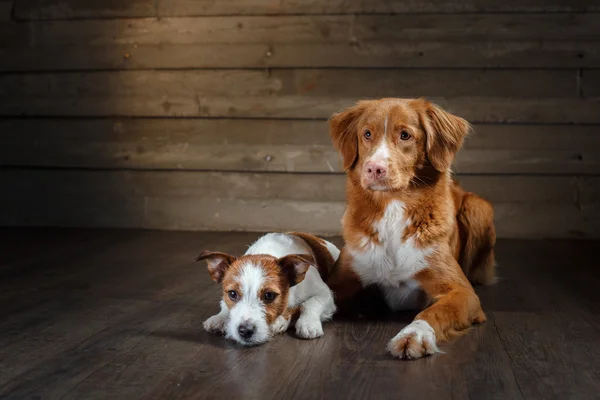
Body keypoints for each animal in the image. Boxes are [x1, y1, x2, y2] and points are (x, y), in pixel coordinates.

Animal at [197, 233, 338, 346]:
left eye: (269, 295)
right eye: (232, 294)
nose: (245, 331)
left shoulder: (325, 294)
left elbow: (310, 303)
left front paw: (308, 322)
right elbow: (225, 306)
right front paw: (219, 318)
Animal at [326, 98, 494, 360]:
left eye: (405, 135)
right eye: (367, 134)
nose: (374, 169)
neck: (392, 207)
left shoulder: (462, 292)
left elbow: (434, 312)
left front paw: (414, 335)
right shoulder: (339, 279)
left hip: (478, 208)